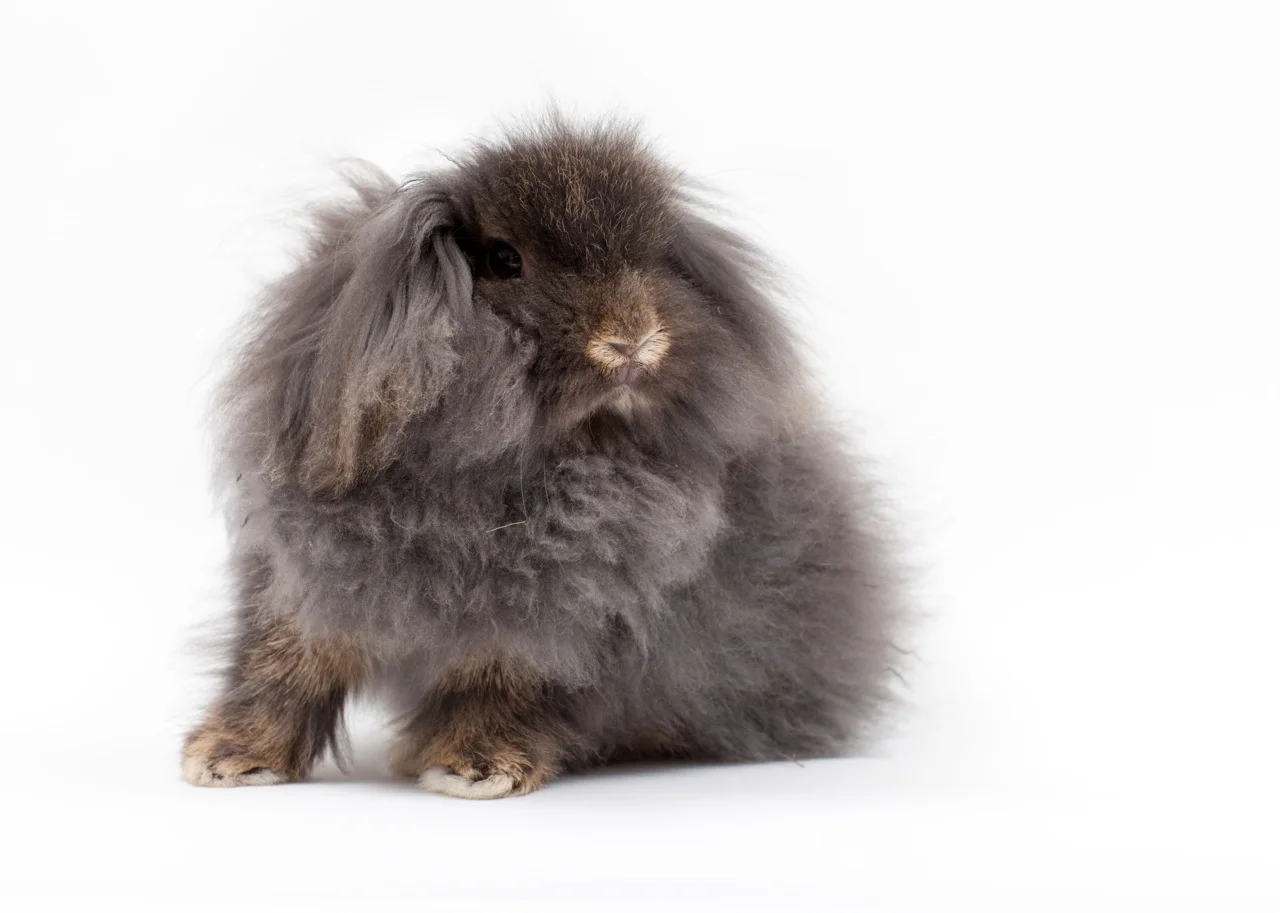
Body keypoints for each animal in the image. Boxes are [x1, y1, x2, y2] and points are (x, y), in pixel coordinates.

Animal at [182, 115, 906, 799]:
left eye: (653, 259)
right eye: (505, 259)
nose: (632, 340)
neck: (497, 467)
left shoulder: (555, 617)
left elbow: (500, 682)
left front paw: (476, 770)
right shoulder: (304, 579)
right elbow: (281, 665)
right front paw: (226, 760)